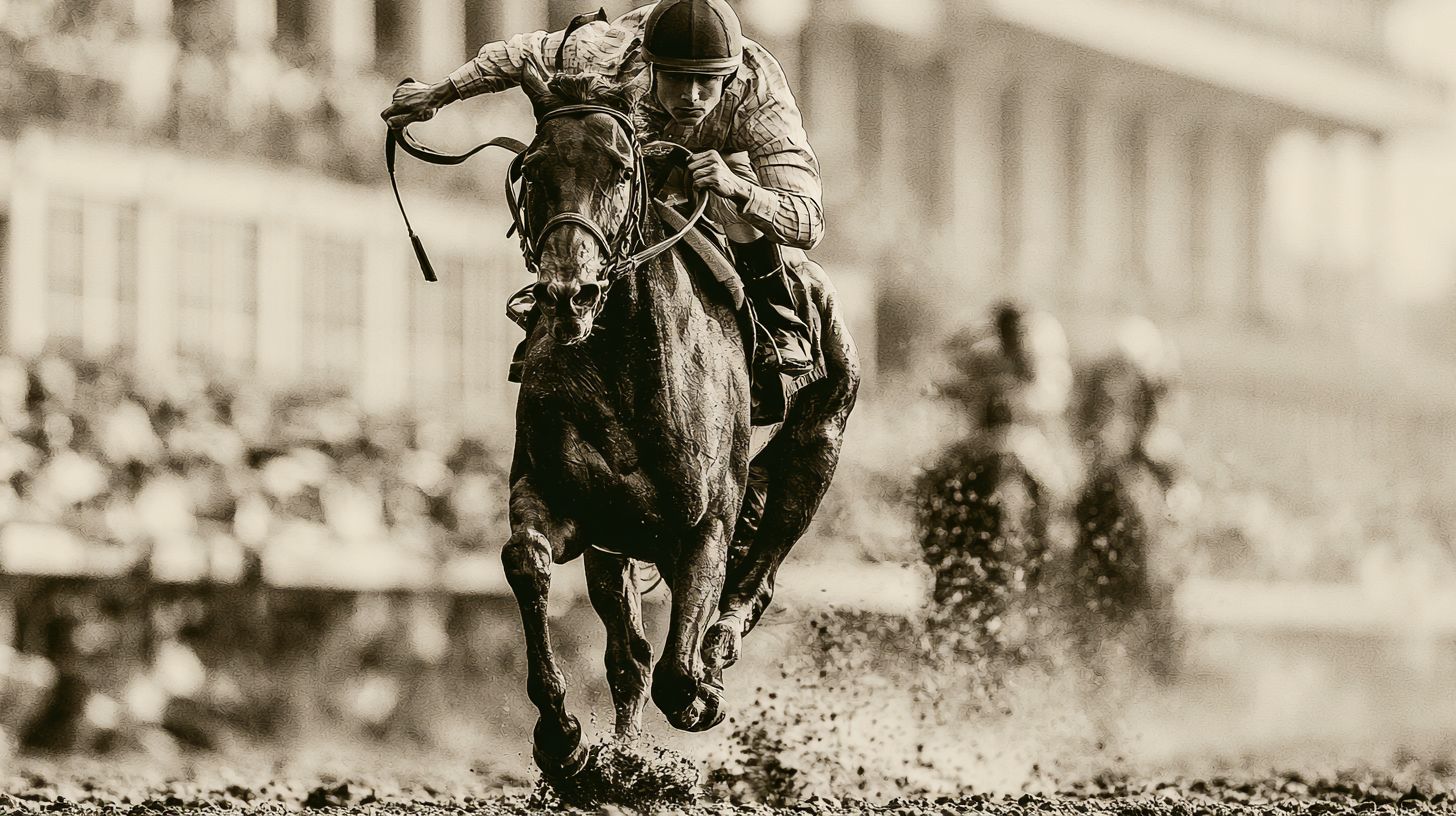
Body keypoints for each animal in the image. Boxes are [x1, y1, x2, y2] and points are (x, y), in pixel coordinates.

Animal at [498, 58, 859, 777]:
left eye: (619, 170)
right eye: (534, 169)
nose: (568, 293)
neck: (621, 362)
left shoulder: (705, 524)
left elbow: (677, 671)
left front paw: (702, 693)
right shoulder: (567, 503)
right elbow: (527, 560)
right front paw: (562, 737)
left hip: (820, 442)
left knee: (764, 566)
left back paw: (720, 646)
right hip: (614, 542)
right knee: (626, 656)